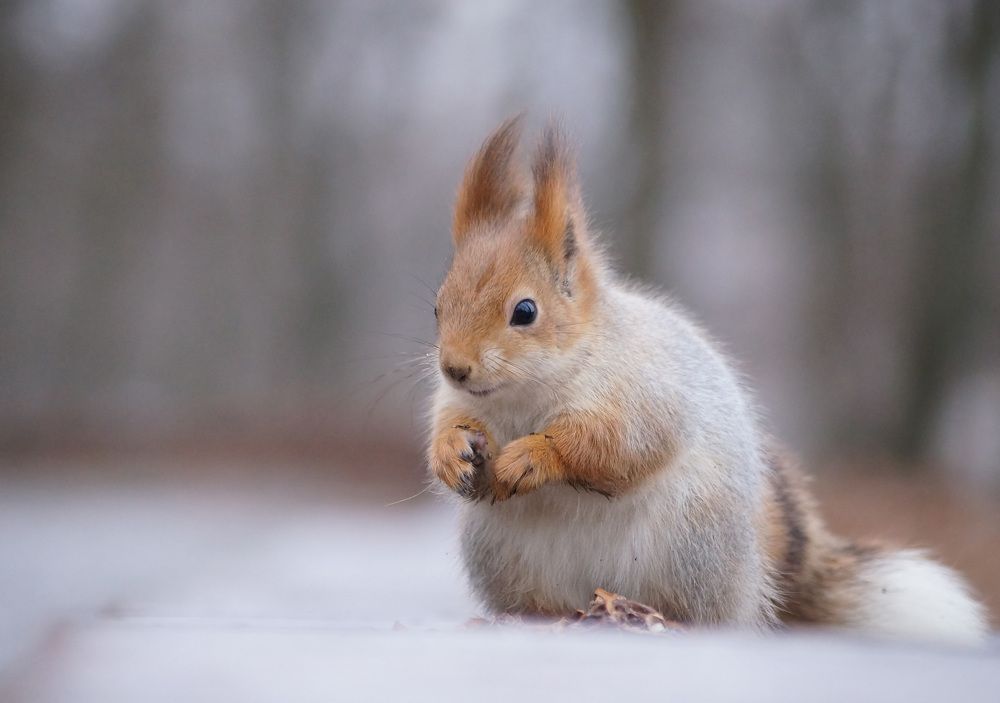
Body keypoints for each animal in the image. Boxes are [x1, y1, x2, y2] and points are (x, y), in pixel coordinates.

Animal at [427, 117, 988, 645]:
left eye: (525, 311)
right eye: (437, 305)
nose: (455, 367)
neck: (529, 391)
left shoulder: (645, 392)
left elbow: (614, 445)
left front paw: (532, 457)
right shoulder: (456, 402)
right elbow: (448, 425)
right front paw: (451, 454)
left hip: (691, 545)